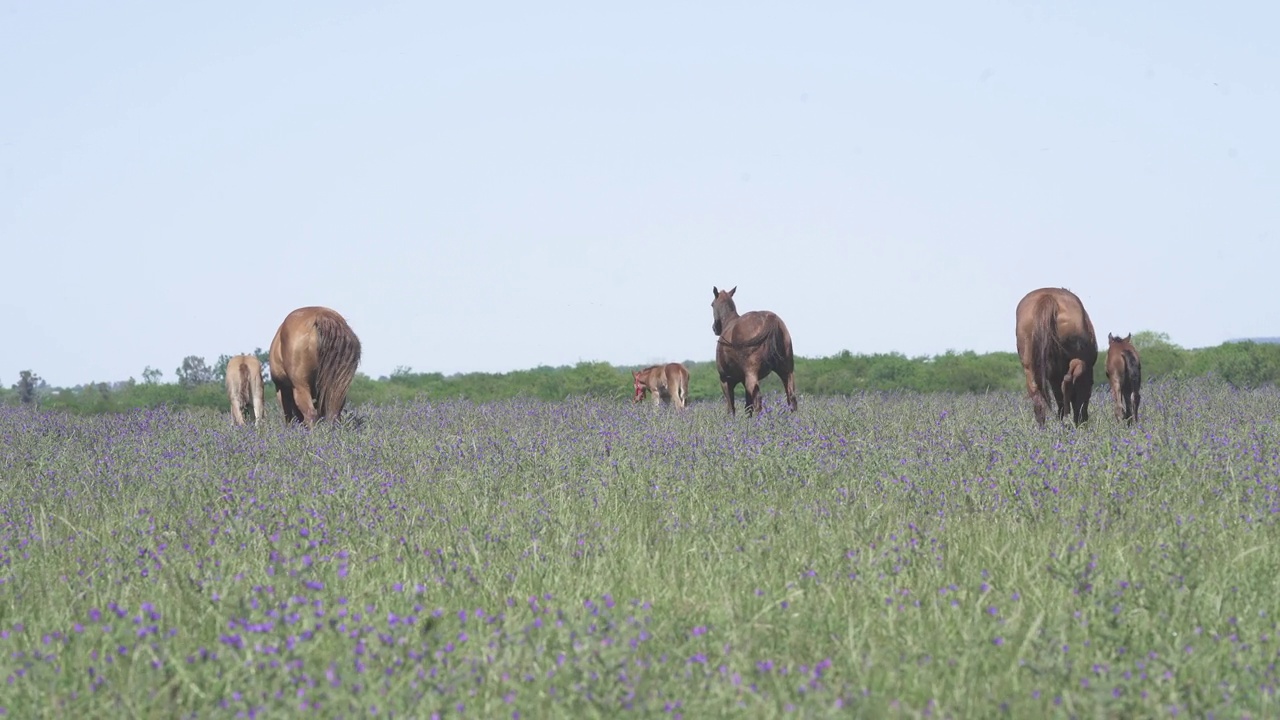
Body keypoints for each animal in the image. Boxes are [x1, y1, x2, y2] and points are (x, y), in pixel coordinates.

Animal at [711, 284, 798, 415]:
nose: (714, 328)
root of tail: (770, 318)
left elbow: (731, 408)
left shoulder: (725, 380)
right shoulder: (743, 380)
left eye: (712, 304)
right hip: (786, 372)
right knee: (791, 397)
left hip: (752, 376)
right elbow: (748, 406)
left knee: (758, 401)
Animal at [1018, 286, 1100, 425]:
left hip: (1029, 368)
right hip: (1076, 360)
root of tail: (1048, 298)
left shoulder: (1053, 376)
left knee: (1038, 399)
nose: (1084, 420)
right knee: (1067, 382)